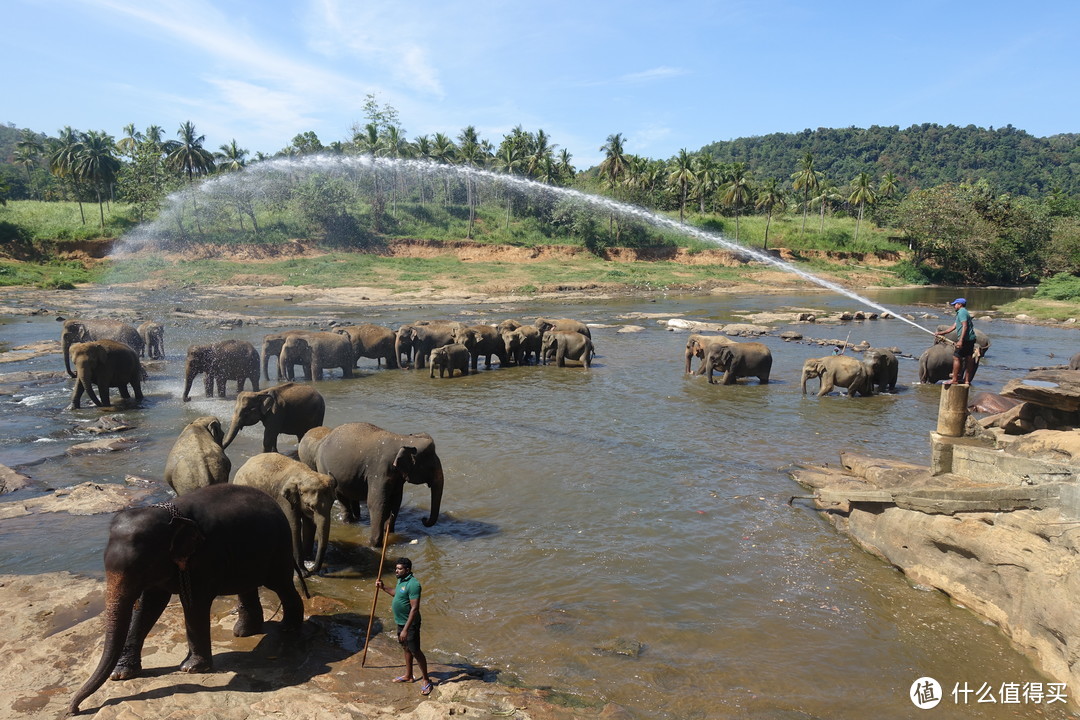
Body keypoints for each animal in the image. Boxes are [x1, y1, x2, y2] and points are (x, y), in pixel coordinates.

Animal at [313, 423, 442, 546]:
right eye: (431, 468)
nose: (424, 519)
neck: (404, 439)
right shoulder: (379, 471)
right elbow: (377, 503)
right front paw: (374, 545)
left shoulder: (397, 476)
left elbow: (396, 501)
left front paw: (389, 532)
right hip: (323, 468)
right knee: (340, 496)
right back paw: (348, 522)